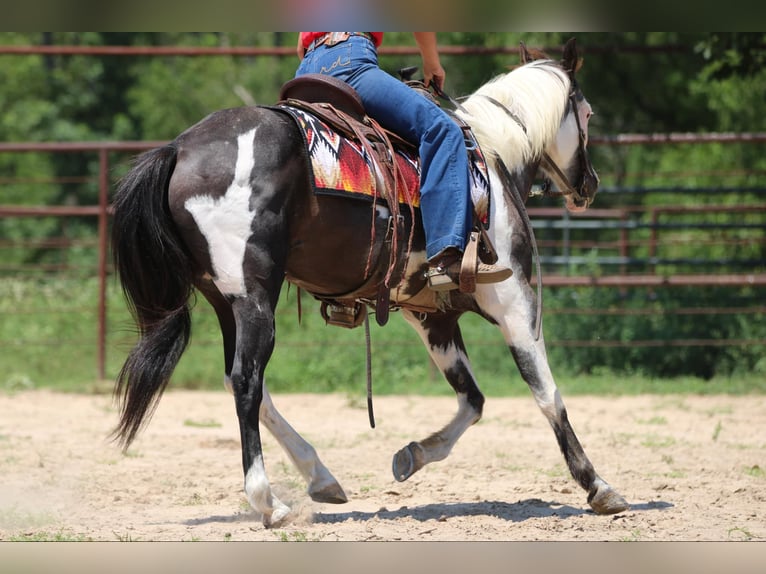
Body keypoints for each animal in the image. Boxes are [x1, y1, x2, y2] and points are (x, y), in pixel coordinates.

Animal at [110, 38, 629, 527]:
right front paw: (598, 486)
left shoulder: (432, 316)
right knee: (246, 380)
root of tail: (180, 150)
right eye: (587, 113)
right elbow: (547, 394)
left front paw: (412, 455)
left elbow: (472, 399)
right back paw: (270, 503)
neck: (493, 157)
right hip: (255, 297)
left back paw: (321, 477)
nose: (590, 183)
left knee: (241, 381)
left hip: (225, 299)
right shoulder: (514, 300)